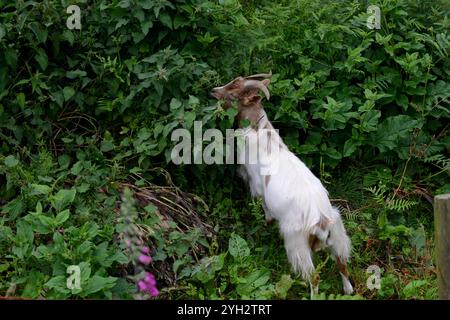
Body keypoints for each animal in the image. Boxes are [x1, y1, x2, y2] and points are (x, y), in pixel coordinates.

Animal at [211, 73, 356, 298]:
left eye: (234, 94)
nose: (214, 91)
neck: (260, 133)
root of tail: (322, 222)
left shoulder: (257, 187)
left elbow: (265, 211)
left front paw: (265, 225)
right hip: (337, 235)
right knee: (342, 262)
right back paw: (348, 290)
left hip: (297, 242)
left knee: (314, 276)